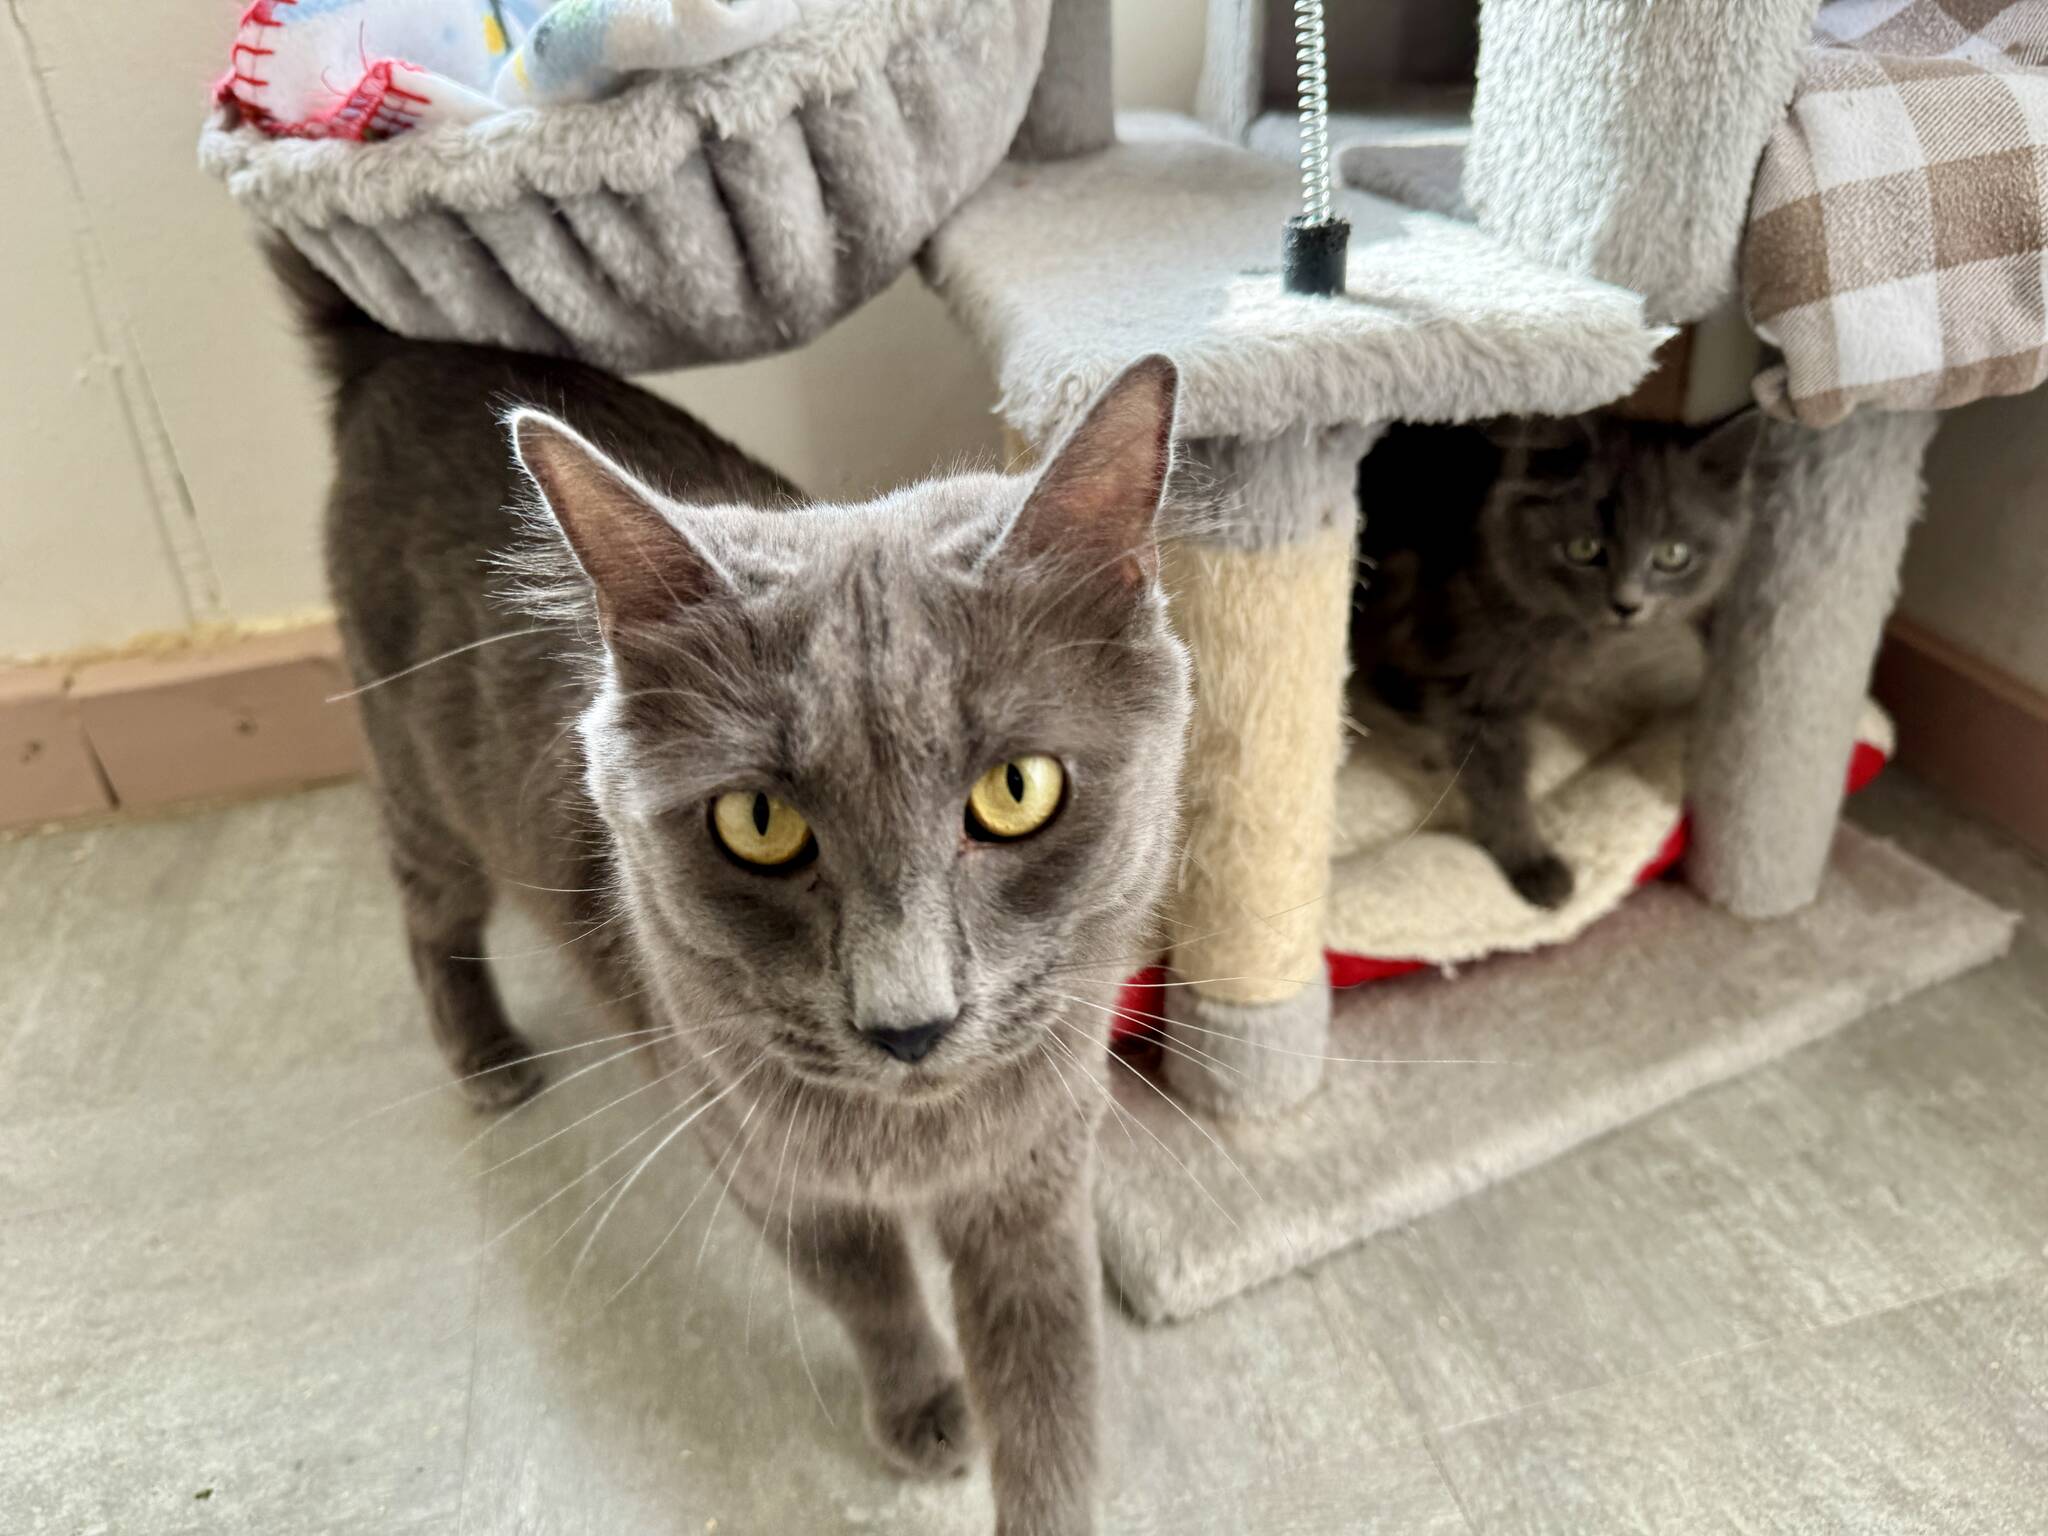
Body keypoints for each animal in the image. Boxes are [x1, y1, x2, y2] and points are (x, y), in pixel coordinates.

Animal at [280, 246, 1196, 1531]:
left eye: (1017, 791)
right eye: (757, 824)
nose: (908, 1022)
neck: (916, 1141)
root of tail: (394, 347)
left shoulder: (1036, 1171)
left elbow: (1049, 1382)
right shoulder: (757, 1154)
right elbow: (870, 1291)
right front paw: (924, 1412)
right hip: (417, 779)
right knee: (426, 915)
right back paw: (490, 1061)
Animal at [1359, 415, 1761, 909]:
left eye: (1673, 555)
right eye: (1584, 549)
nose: (1627, 604)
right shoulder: (1482, 687)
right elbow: (1498, 783)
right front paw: (1531, 864)